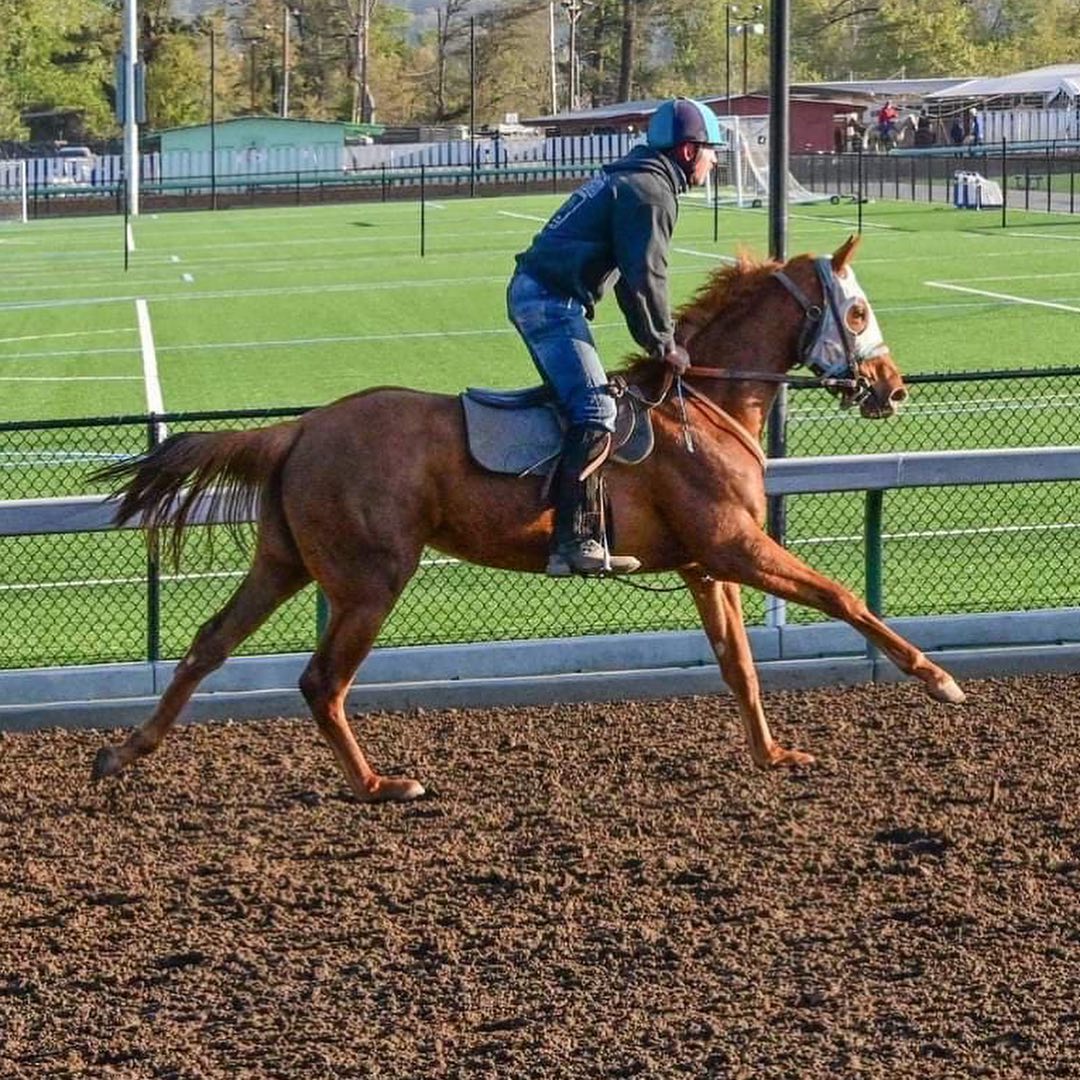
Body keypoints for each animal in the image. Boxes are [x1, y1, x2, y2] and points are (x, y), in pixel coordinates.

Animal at [90, 235, 964, 803]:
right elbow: (842, 598)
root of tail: (300, 428)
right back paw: (377, 784)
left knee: (208, 646)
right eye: (858, 311)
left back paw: (125, 751)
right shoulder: (736, 547)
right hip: (369, 581)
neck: (707, 404)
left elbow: (740, 666)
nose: (892, 387)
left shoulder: (705, 565)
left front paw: (773, 754)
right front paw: (939, 679)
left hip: (285, 563)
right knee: (321, 681)